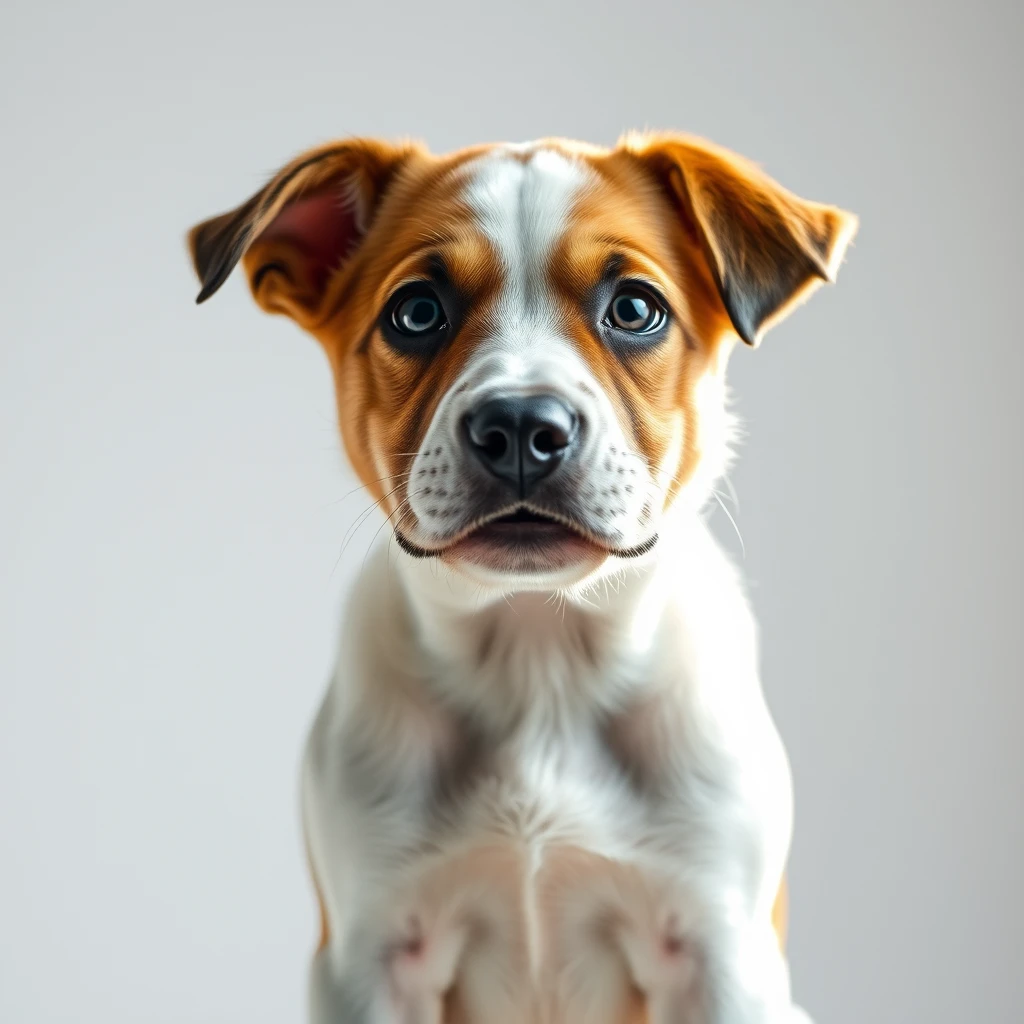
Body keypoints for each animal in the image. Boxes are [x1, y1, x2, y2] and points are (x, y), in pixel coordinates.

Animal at [186, 132, 856, 1019]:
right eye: (417, 312)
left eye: (634, 309)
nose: (519, 427)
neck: (539, 652)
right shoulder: (369, 959)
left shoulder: (725, 956)